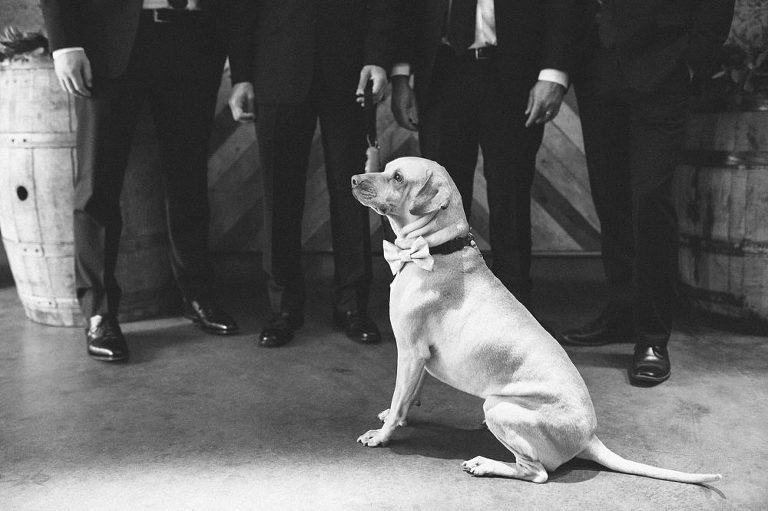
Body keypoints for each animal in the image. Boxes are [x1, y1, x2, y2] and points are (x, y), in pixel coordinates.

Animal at [350, 156, 721, 484]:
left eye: (398, 177)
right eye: (385, 168)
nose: (353, 179)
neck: (438, 248)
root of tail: (589, 437)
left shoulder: (410, 352)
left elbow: (399, 397)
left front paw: (382, 434)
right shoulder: (418, 359)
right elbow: (407, 396)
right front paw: (395, 417)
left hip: (498, 407)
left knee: (536, 472)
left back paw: (485, 464)